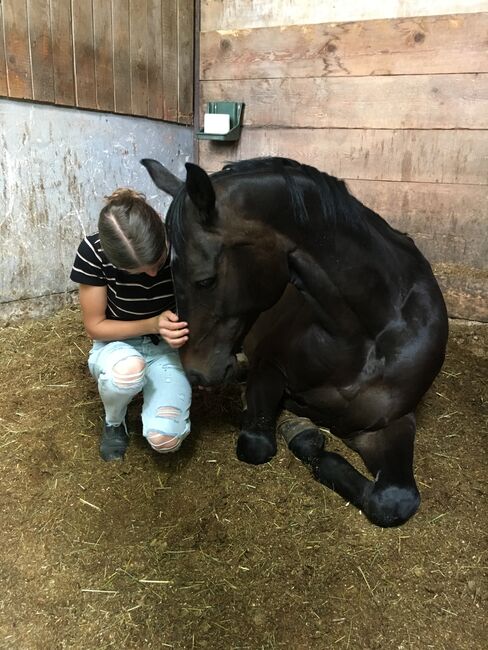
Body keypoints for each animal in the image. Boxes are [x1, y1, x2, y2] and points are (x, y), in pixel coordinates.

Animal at [142, 156, 450, 528]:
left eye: (206, 280)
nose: (196, 373)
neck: (368, 339)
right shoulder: (269, 370)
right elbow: (257, 444)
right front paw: (301, 433)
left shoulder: (390, 422)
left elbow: (393, 500)